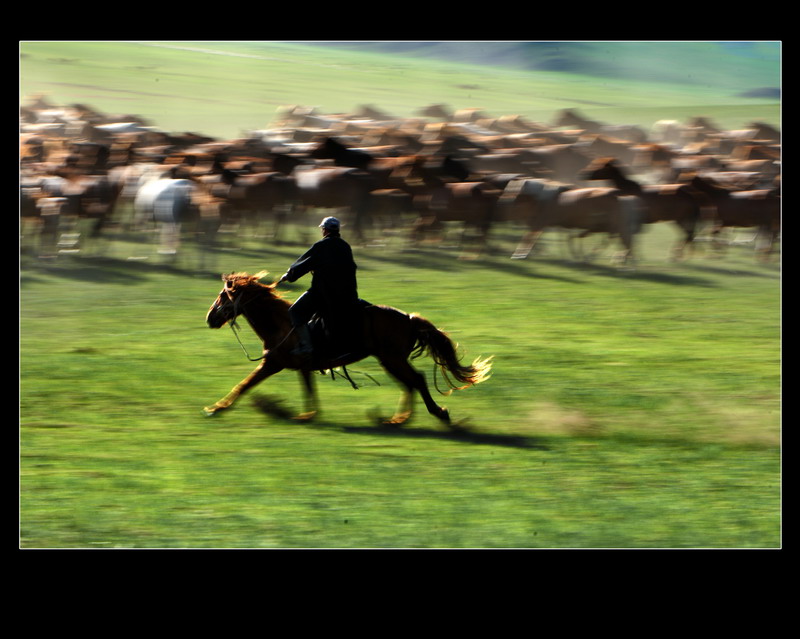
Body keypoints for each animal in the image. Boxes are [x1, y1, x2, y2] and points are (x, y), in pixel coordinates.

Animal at [205, 272, 494, 428]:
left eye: (222, 296)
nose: (210, 318)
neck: (280, 323)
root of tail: (409, 318)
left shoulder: (272, 364)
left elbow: (244, 384)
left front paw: (217, 408)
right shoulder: (302, 367)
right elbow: (309, 391)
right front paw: (308, 415)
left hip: (392, 359)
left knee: (417, 381)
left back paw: (435, 414)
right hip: (390, 361)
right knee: (410, 385)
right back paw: (398, 420)